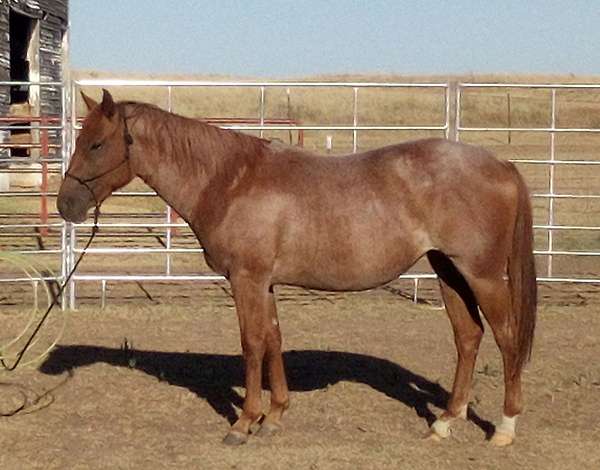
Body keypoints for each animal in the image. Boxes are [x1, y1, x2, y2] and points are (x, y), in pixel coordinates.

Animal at [56, 90, 536, 446]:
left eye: (96, 144)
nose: (66, 205)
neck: (229, 179)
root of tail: (501, 164)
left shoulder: (246, 279)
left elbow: (251, 343)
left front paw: (244, 423)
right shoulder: (264, 282)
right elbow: (273, 339)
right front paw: (274, 416)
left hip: (482, 275)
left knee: (507, 338)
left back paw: (506, 427)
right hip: (448, 271)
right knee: (468, 337)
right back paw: (444, 422)